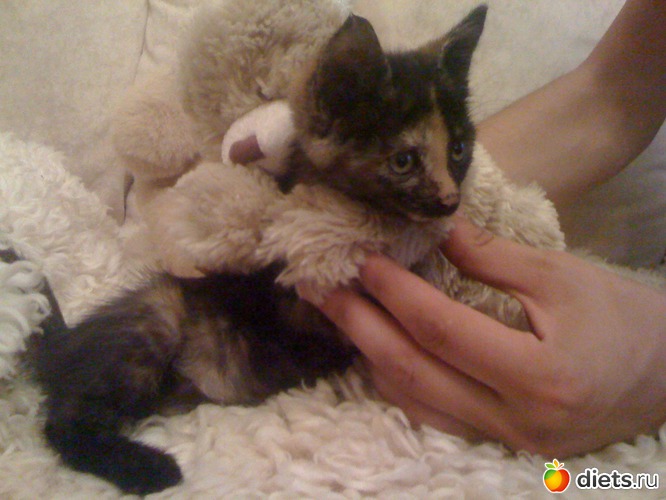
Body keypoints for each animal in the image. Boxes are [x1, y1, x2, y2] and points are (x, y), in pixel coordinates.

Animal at [31, 5, 487, 495]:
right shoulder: (297, 294)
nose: (450, 201)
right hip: (158, 315)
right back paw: (148, 467)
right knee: (62, 421)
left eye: (458, 150)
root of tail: (63, 345)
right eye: (403, 161)